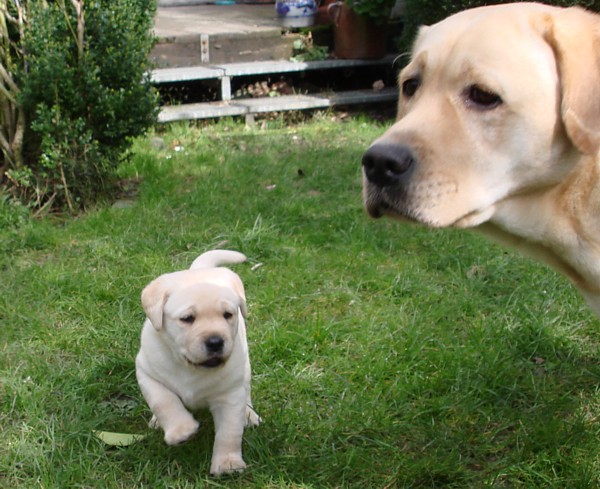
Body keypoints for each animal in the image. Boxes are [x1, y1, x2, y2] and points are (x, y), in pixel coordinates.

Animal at [136, 248, 260, 472]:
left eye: (227, 315)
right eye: (187, 318)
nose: (215, 342)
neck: (191, 367)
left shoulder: (229, 395)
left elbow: (230, 431)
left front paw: (227, 463)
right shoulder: (147, 373)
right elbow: (164, 401)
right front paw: (181, 430)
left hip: (245, 367)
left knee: (246, 390)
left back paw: (248, 414)